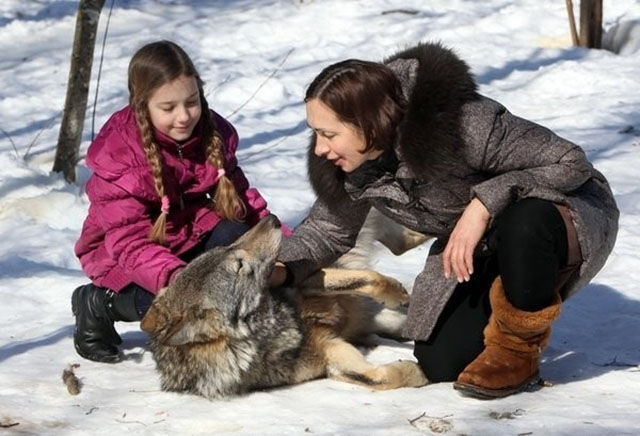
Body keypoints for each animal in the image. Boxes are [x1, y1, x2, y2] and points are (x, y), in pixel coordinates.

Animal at [142, 215, 428, 398]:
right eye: (239, 265)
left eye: (227, 245)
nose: (272, 219)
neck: (285, 328)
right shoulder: (332, 351)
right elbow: (381, 378)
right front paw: (420, 372)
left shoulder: (305, 281)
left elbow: (369, 279)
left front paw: (397, 291)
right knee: (400, 245)